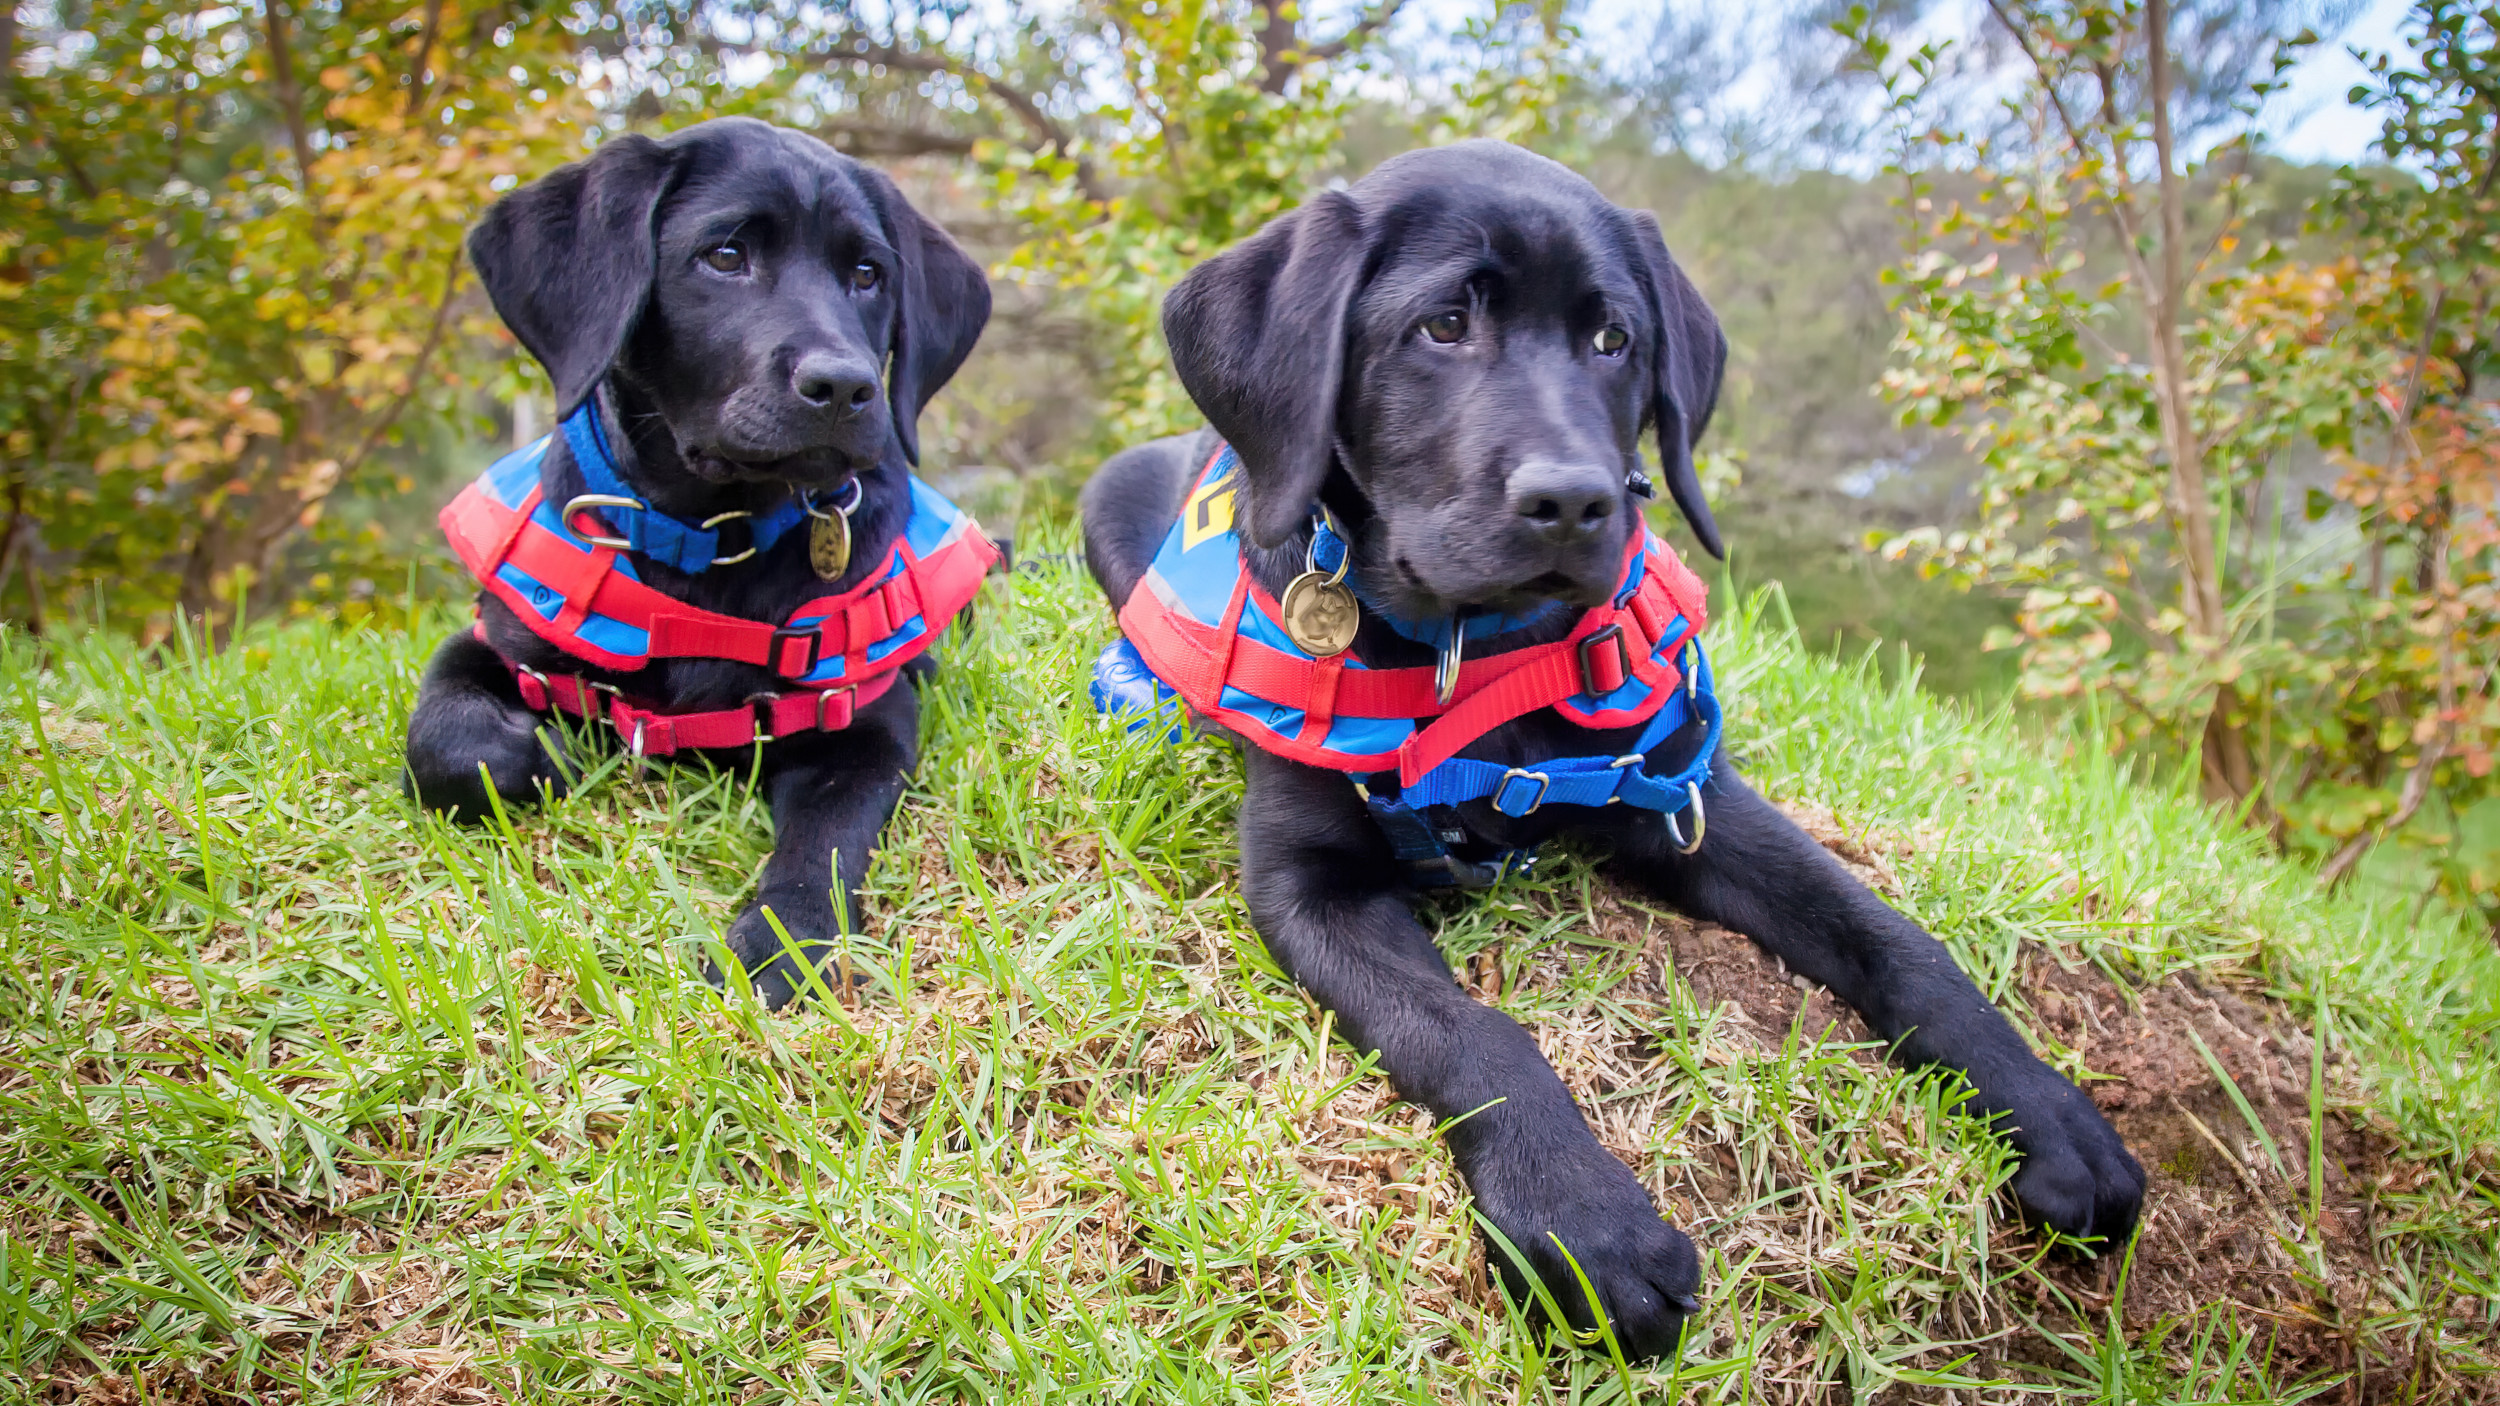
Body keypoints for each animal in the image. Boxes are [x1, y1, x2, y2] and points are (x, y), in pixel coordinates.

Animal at [407, 115, 995, 1000]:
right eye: (725, 256)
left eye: (868, 275)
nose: (847, 386)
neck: (715, 537)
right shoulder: (491, 644)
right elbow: (449, 743)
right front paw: (542, 752)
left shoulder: (863, 717)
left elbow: (824, 839)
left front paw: (786, 940)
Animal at [1080, 142, 2150, 1360]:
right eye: (1441, 326)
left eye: (1613, 340)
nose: (1576, 499)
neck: (1483, 657)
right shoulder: (1309, 887)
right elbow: (1468, 1029)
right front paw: (1581, 1222)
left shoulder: (1685, 795)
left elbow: (1893, 937)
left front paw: (2044, 1110)